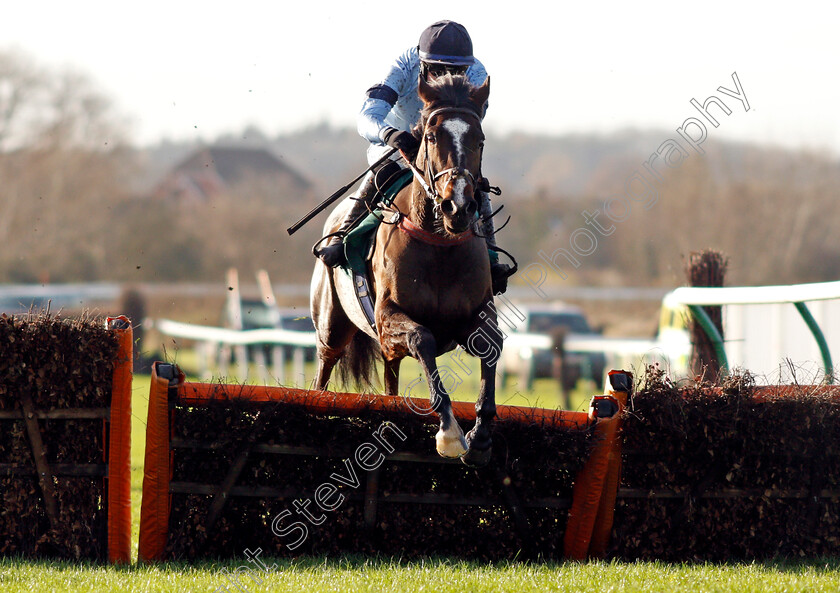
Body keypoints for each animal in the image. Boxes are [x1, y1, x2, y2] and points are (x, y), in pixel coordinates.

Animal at [312, 73, 502, 468]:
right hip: (331, 327)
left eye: (479, 140)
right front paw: (449, 433)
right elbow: (422, 338)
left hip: (386, 354)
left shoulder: (475, 314)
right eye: (431, 136)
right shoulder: (387, 319)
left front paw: (480, 437)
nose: (458, 206)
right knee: (323, 370)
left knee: (390, 380)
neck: (441, 245)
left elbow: (491, 344)